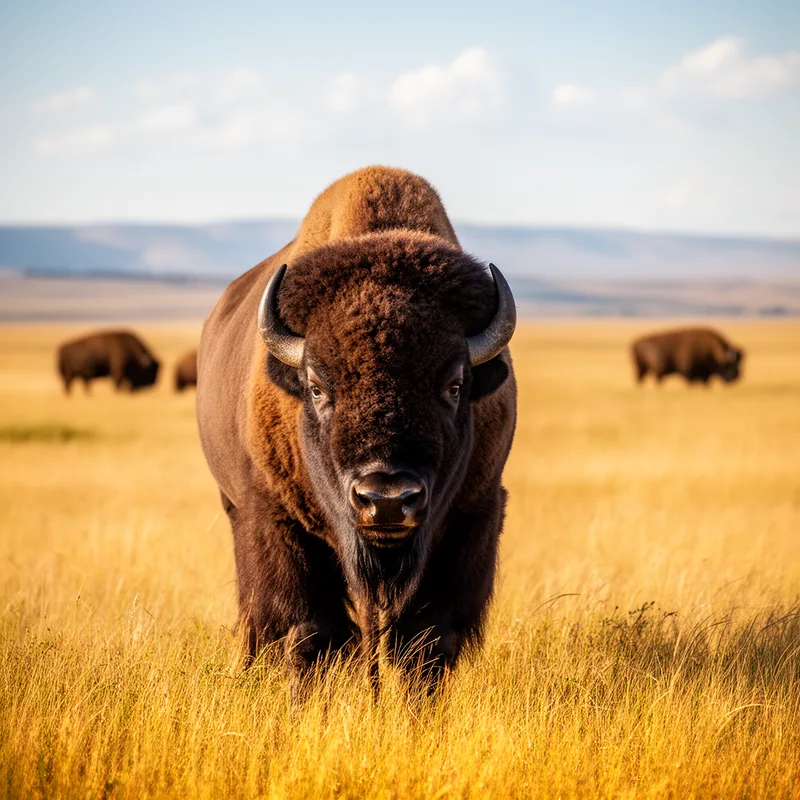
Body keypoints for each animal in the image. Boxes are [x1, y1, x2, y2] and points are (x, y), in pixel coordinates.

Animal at [197, 166, 517, 688]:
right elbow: (308, 632)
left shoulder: (472, 519)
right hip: (234, 508)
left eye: (454, 385)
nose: (386, 500)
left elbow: (427, 641)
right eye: (316, 387)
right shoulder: (275, 523)